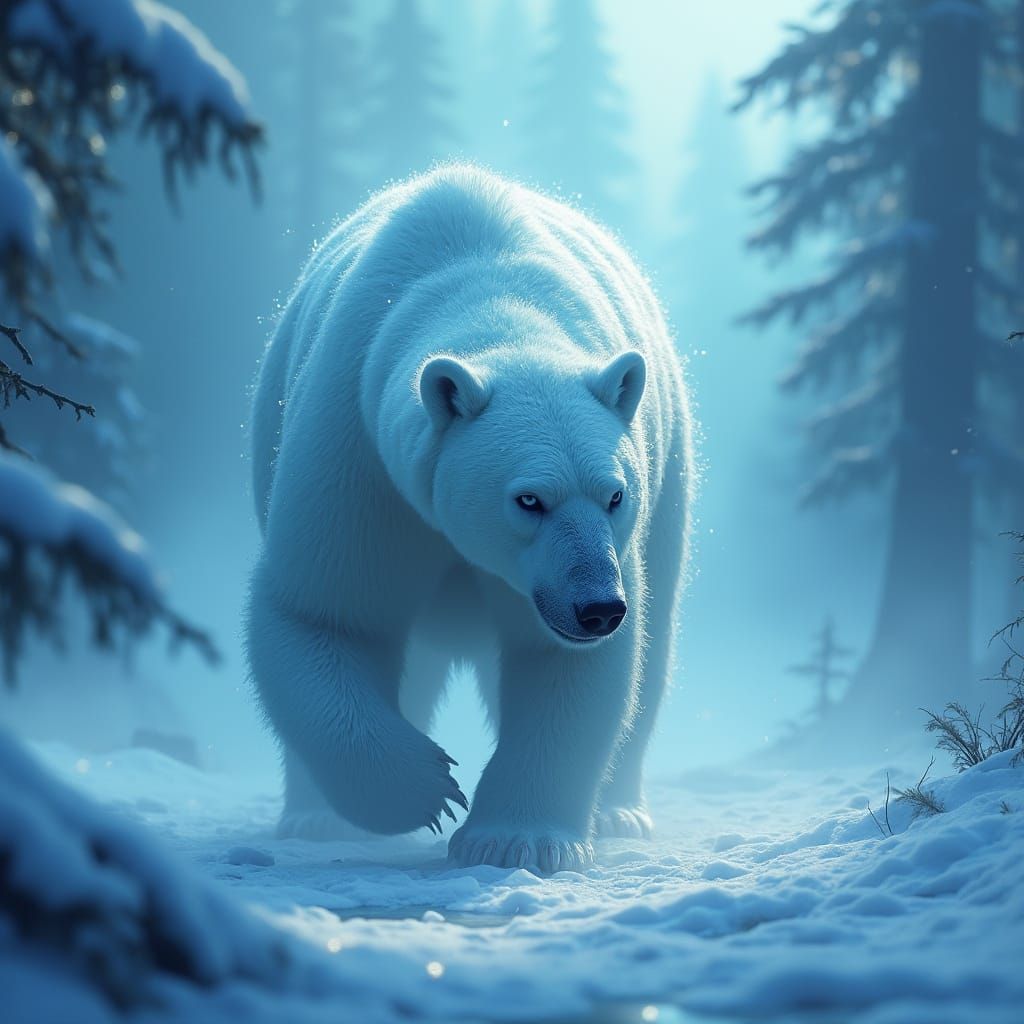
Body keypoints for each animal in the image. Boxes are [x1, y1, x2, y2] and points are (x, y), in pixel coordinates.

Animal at [246, 164, 692, 872]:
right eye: (529, 499)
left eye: (615, 495)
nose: (598, 608)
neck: (492, 290)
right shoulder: (363, 457)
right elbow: (326, 611)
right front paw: (426, 788)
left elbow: (556, 664)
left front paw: (515, 839)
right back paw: (315, 818)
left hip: (671, 495)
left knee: (654, 651)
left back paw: (621, 811)